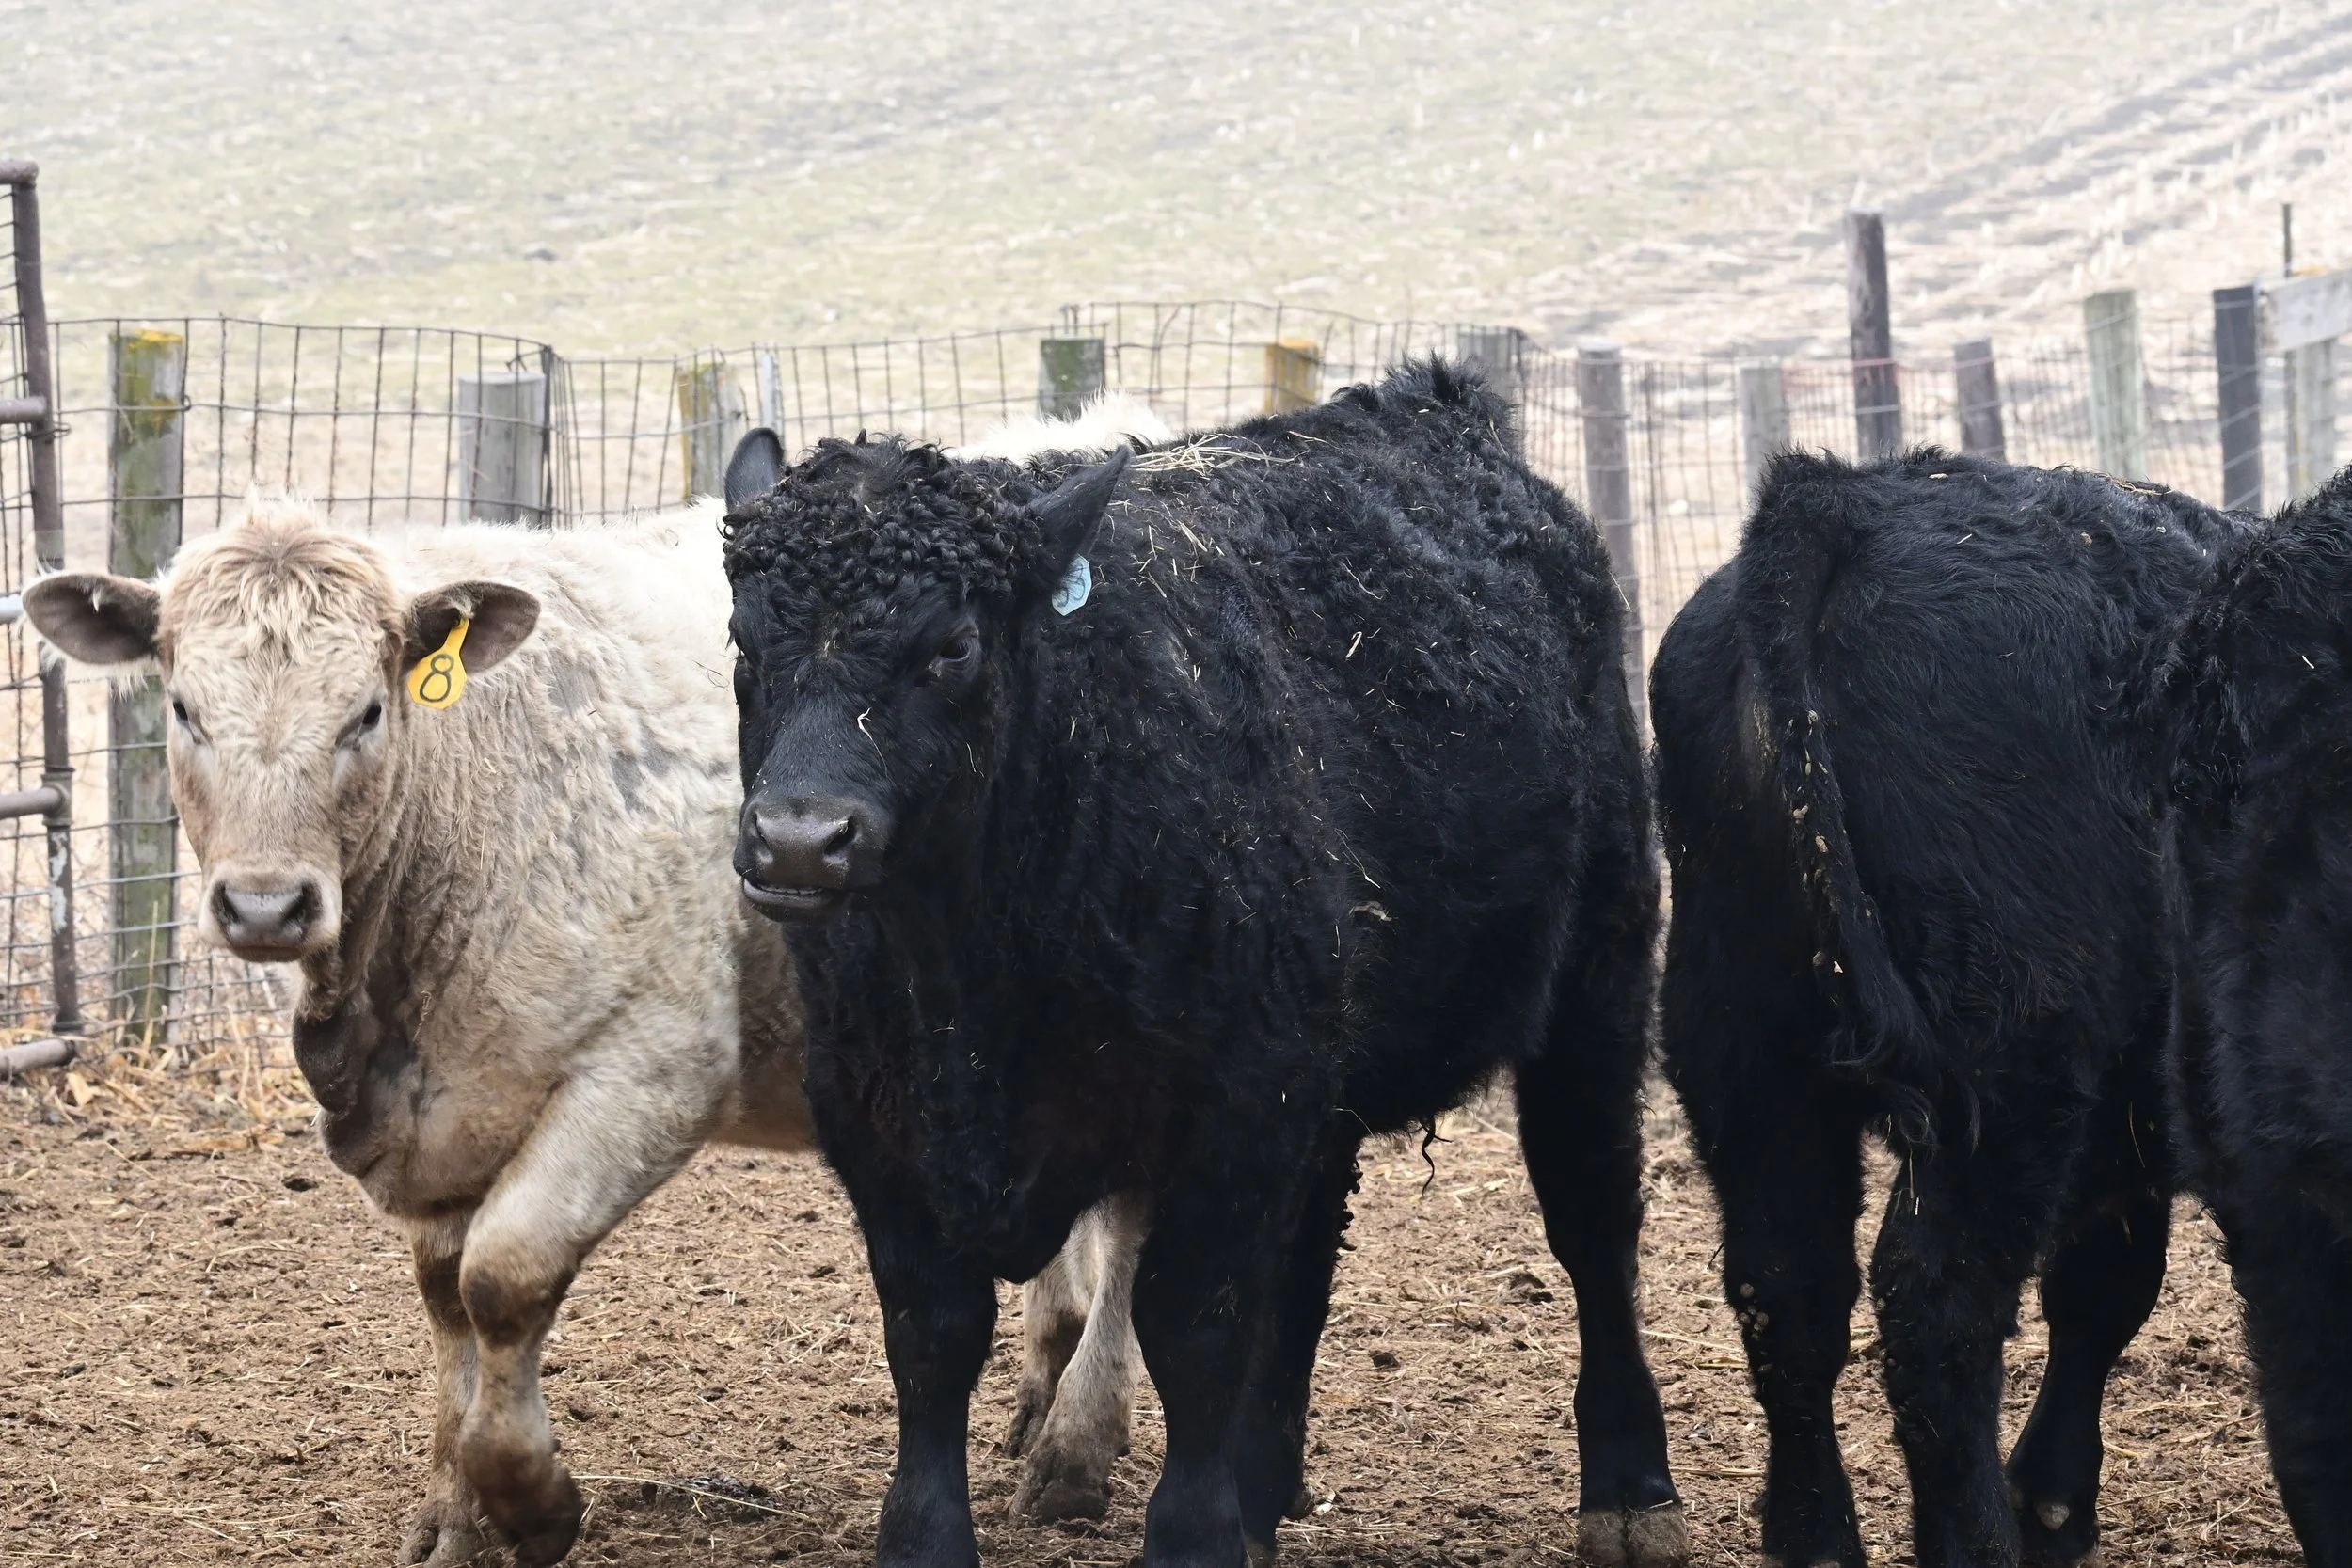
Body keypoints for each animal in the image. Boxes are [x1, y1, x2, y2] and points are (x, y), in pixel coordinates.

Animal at [21, 482, 1151, 1560]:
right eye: (182, 708)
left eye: (369, 712)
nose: (265, 905)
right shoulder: (445, 1114)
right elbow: (447, 1304)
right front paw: (454, 1518)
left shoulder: (649, 1072)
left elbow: (502, 1278)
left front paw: (534, 1502)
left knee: (1134, 1227)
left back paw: (1076, 1447)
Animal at [718, 360, 1685, 1568]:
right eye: (743, 639)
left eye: (952, 645)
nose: (800, 838)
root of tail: (1431, 406)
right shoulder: (874, 1121)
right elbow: (932, 1334)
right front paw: (927, 1537)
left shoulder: (1229, 1113)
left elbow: (1191, 1322)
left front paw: (1187, 1530)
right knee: (1306, 1264)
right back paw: (1262, 1491)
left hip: (1598, 974)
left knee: (1592, 1219)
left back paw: (1631, 1488)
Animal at [1650, 448, 2245, 1568]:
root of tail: (1842, 502)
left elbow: (2103, 1286)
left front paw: (2054, 1499)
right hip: (2009, 1071)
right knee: (1938, 1307)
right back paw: (1973, 1537)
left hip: (1740, 1042)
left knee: (1786, 1285)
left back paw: (1817, 1537)